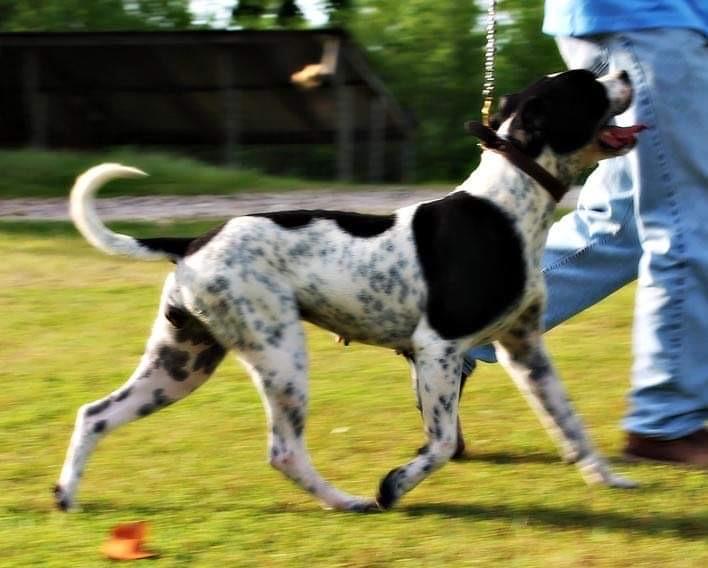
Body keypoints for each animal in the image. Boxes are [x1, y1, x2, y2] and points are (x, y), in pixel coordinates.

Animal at [54, 69, 640, 512]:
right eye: (588, 84)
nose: (628, 72)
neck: (506, 207)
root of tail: (194, 241)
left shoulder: (524, 349)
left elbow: (569, 421)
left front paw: (608, 478)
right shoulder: (437, 348)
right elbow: (441, 441)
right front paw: (394, 485)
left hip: (182, 363)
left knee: (95, 414)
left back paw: (67, 498)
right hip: (279, 357)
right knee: (284, 451)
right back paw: (350, 501)